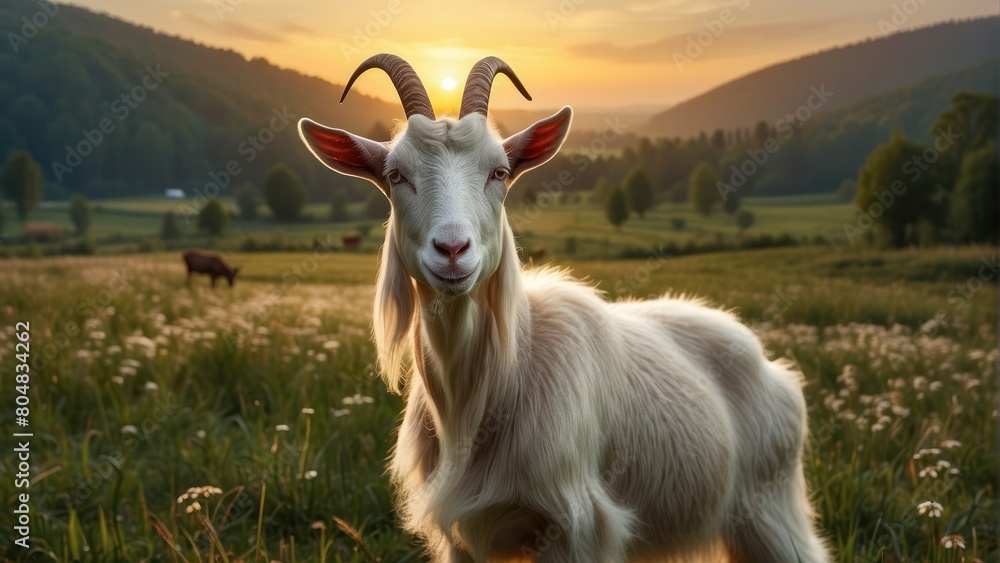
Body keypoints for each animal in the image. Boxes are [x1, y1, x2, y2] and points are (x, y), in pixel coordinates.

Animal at [299, 54, 829, 563]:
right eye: (395, 175)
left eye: (500, 172)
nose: (452, 250)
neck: (490, 389)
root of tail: (768, 363)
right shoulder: (460, 538)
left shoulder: (576, 526)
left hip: (770, 512)